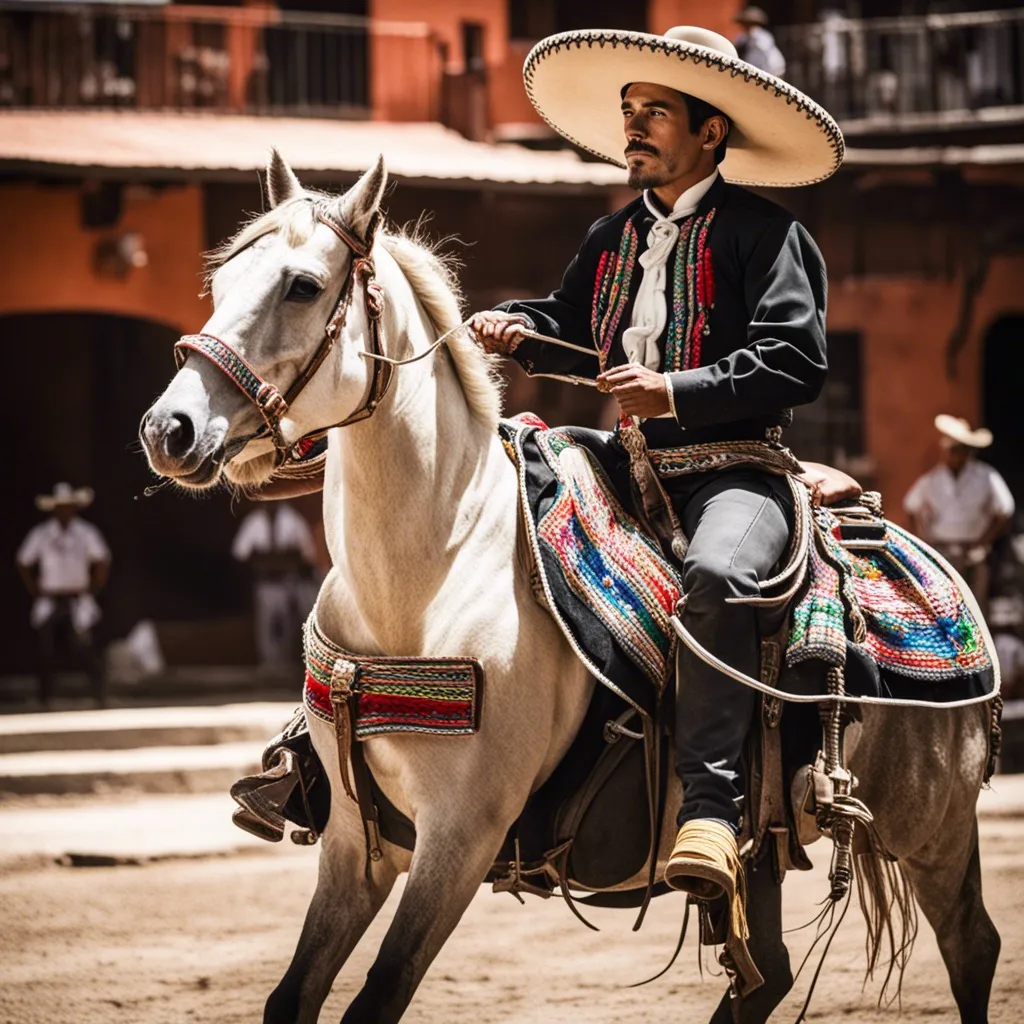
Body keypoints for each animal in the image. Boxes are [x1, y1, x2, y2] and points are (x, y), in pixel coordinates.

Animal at [140, 153, 995, 1024]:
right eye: (220, 281)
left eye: (303, 286)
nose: (168, 430)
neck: (429, 573)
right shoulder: (356, 840)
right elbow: (292, 997)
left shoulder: (460, 836)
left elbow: (377, 996)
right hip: (763, 844)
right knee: (771, 972)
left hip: (934, 830)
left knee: (972, 948)